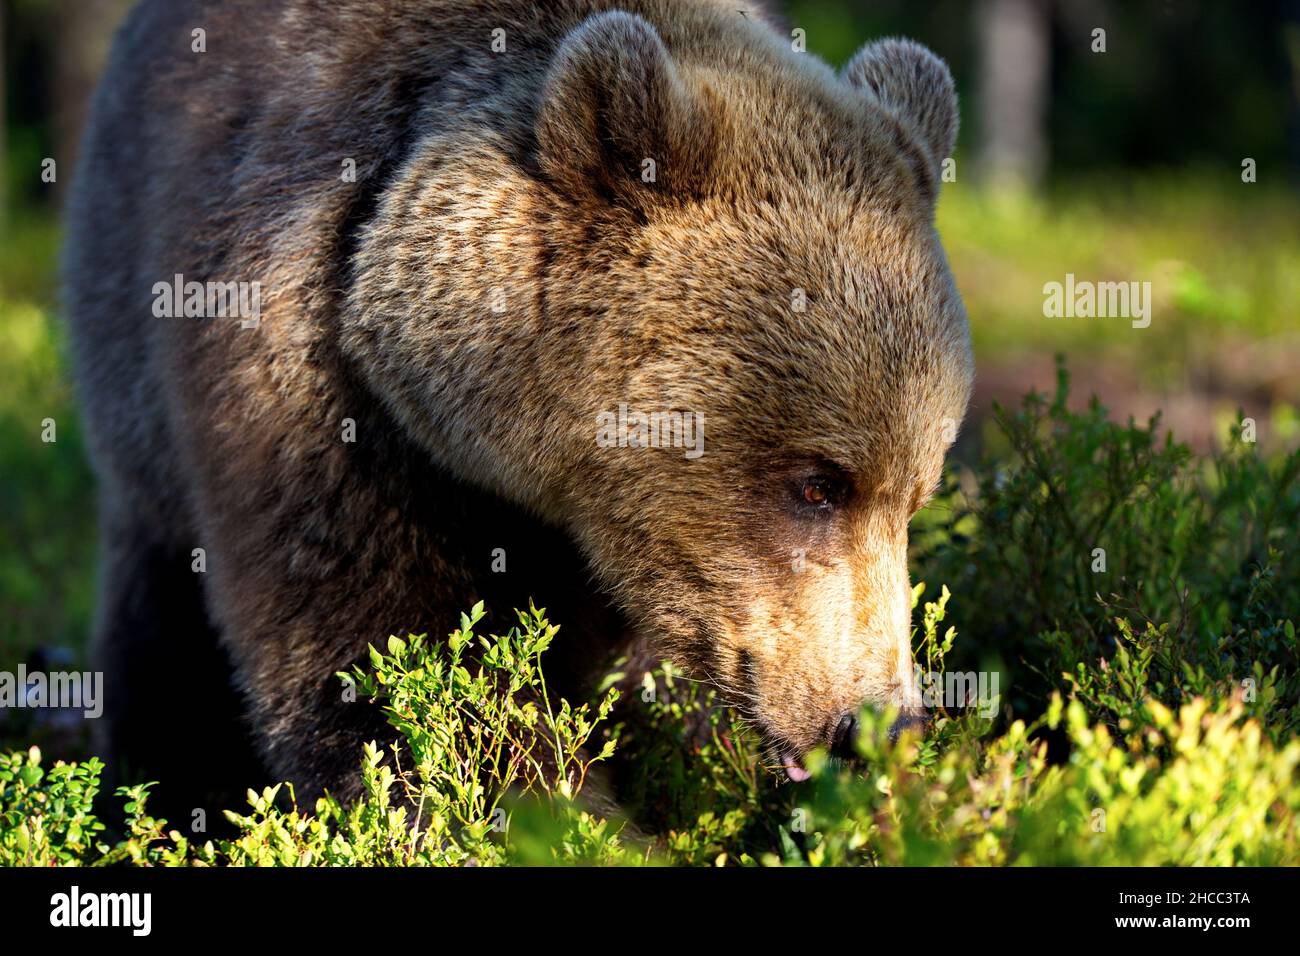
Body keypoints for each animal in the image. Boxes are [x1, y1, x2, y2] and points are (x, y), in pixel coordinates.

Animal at [63, 0, 972, 814]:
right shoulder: (312, 380)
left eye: (914, 499)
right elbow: (383, 651)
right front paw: (545, 803)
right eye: (818, 483)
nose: (877, 725)